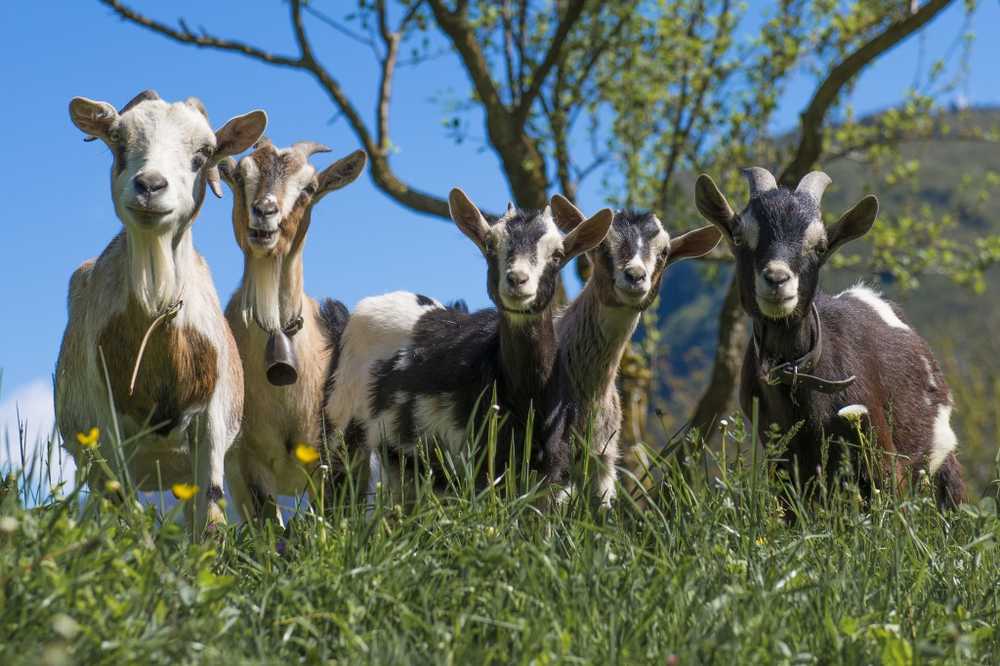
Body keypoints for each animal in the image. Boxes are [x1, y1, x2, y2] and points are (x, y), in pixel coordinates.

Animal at [54, 91, 266, 532]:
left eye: (203, 153)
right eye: (118, 140)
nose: (150, 185)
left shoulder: (213, 426)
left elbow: (211, 513)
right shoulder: (106, 424)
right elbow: (123, 512)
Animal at [324, 189, 612, 500]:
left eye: (558, 255)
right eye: (490, 245)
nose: (517, 280)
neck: (528, 398)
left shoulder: (552, 473)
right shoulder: (484, 468)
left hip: (402, 459)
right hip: (342, 422)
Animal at [692, 167, 964, 508]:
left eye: (819, 246)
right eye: (740, 237)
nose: (777, 279)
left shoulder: (882, 460)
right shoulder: (783, 463)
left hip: (942, 461)